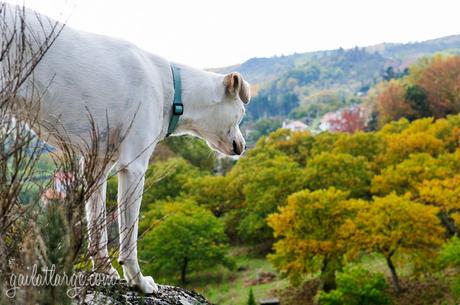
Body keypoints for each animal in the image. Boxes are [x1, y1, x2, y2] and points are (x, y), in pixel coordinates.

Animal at [1, 4, 250, 292]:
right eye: (242, 111)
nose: (243, 147)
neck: (171, 89)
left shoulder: (96, 167)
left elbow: (96, 225)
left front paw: (104, 270)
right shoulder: (134, 169)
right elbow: (129, 235)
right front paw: (138, 281)